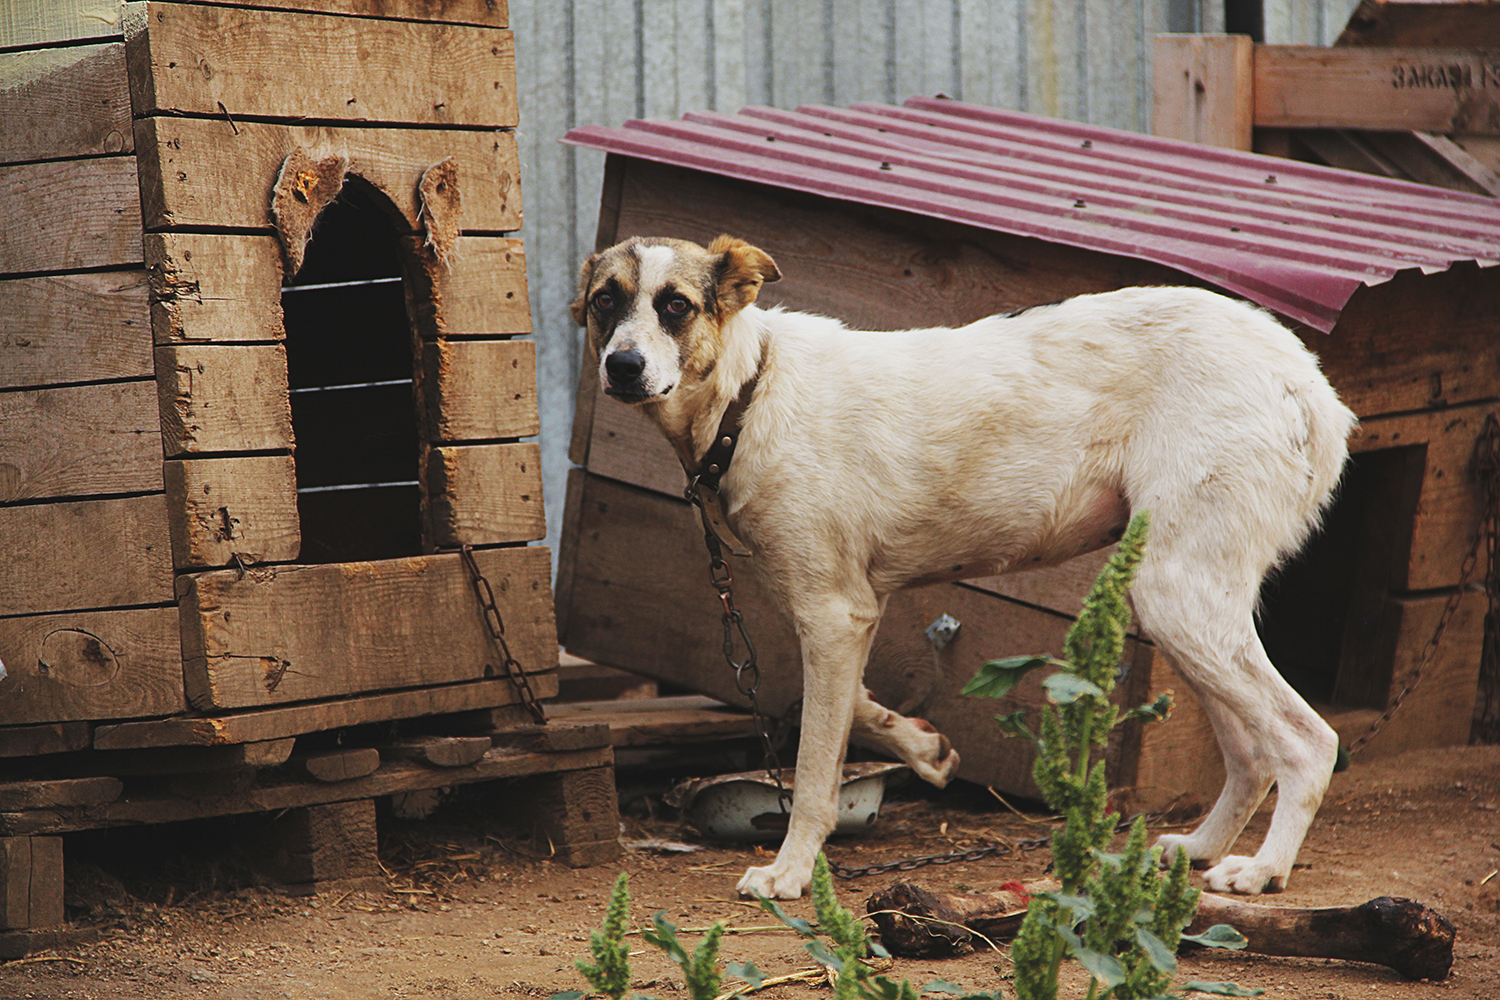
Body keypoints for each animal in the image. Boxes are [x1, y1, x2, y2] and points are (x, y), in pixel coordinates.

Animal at [570, 232, 1362, 899]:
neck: (749, 394)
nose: (623, 367)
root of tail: (1307, 378)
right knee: (1252, 752)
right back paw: (1199, 847)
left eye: (676, 305)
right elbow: (840, 708)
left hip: (1177, 596)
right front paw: (923, 749)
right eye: (606, 300)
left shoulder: (831, 615)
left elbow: (814, 770)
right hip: (1182, 608)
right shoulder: (849, 612)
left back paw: (1262, 869)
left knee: (1308, 743)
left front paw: (791, 871)